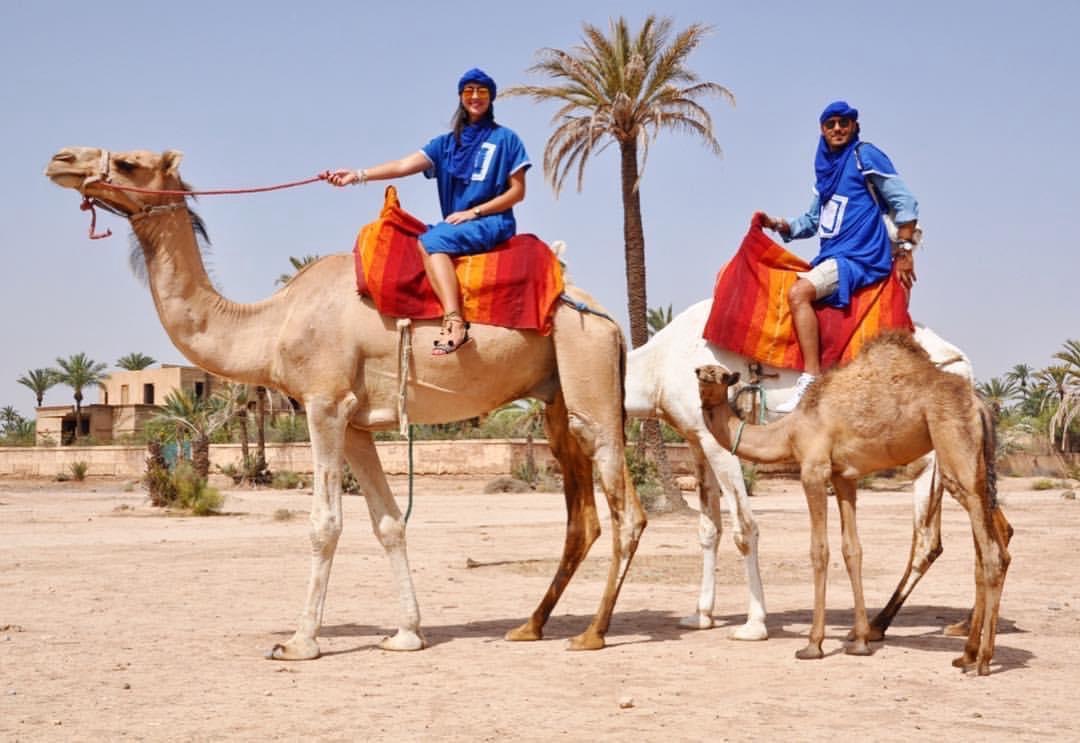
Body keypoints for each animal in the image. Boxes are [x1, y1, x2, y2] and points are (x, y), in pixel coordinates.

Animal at [46, 146, 647, 658]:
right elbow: (388, 522)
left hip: (586, 363)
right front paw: (406, 634)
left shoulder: (325, 403)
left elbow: (324, 522)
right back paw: (530, 626)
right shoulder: (356, 423)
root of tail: (609, 319)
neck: (270, 323)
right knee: (581, 516)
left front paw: (298, 642)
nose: (61, 159)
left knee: (626, 507)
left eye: (130, 161)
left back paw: (592, 633)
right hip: (556, 396)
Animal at [625, 299, 1005, 641]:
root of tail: (963, 363)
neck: (658, 369)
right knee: (989, 527)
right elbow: (708, 529)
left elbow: (744, 529)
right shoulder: (696, 439)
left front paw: (754, 624)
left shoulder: (719, 442)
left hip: (937, 453)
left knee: (934, 537)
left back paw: (885, 626)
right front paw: (701, 615)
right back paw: (959, 626)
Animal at [695, 332, 1011, 674]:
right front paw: (860, 642)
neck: (790, 431)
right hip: (977, 463)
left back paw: (982, 660)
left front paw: (813, 645)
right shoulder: (844, 477)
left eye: (719, 374)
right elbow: (852, 551)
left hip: (954, 449)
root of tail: (980, 405)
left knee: (991, 552)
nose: (701, 373)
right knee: (984, 551)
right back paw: (966, 654)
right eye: (704, 371)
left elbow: (819, 551)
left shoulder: (814, 469)